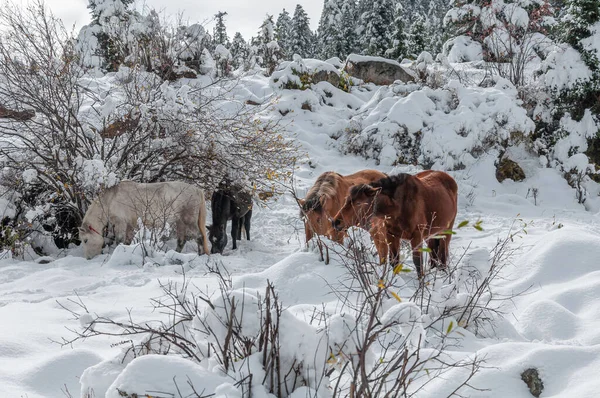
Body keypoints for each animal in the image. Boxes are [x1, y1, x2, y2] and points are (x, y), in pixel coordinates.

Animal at [78, 180, 211, 258]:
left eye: (85, 240)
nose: (88, 258)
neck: (110, 200)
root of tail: (198, 190)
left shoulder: (121, 223)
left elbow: (119, 240)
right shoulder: (130, 225)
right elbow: (127, 241)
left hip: (188, 221)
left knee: (199, 237)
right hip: (180, 223)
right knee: (181, 241)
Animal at [332, 170, 460, 276]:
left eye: (358, 203)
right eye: (346, 200)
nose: (335, 222)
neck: (399, 207)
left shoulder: (416, 235)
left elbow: (418, 262)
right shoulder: (391, 235)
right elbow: (394, 260)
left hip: (446, 231)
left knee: (442, 255)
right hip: (431, 234)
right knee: (433, 254)